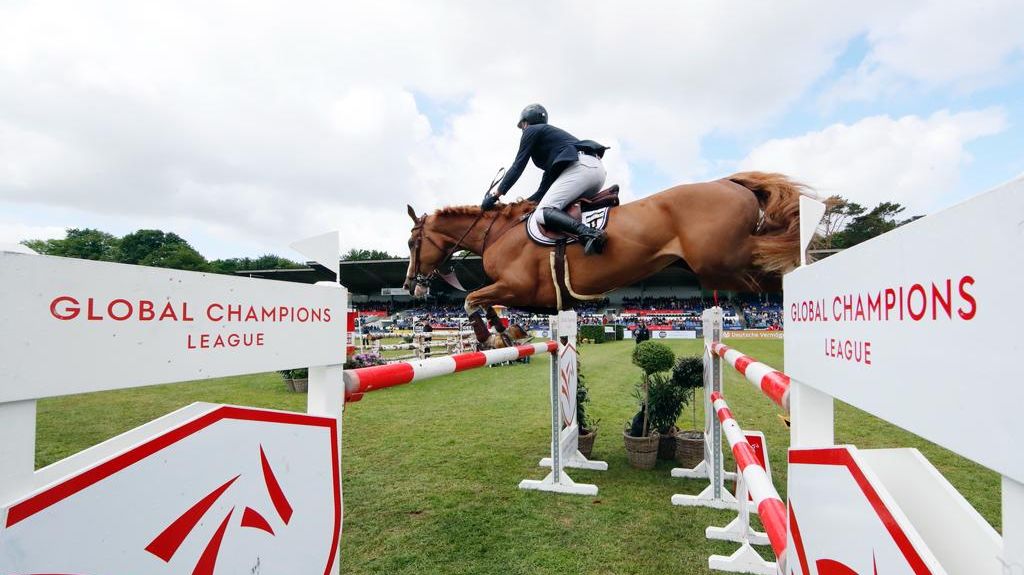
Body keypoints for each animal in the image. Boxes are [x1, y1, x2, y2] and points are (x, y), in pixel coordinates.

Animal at [407, 169, 815, 315]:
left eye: (412, 244)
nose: (411, 286)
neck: (500, 232)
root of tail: (728, 182)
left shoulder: (515, 286)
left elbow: (473, 301)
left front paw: (498, 336)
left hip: (725, 263)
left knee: (778, 268)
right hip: (723, 266)